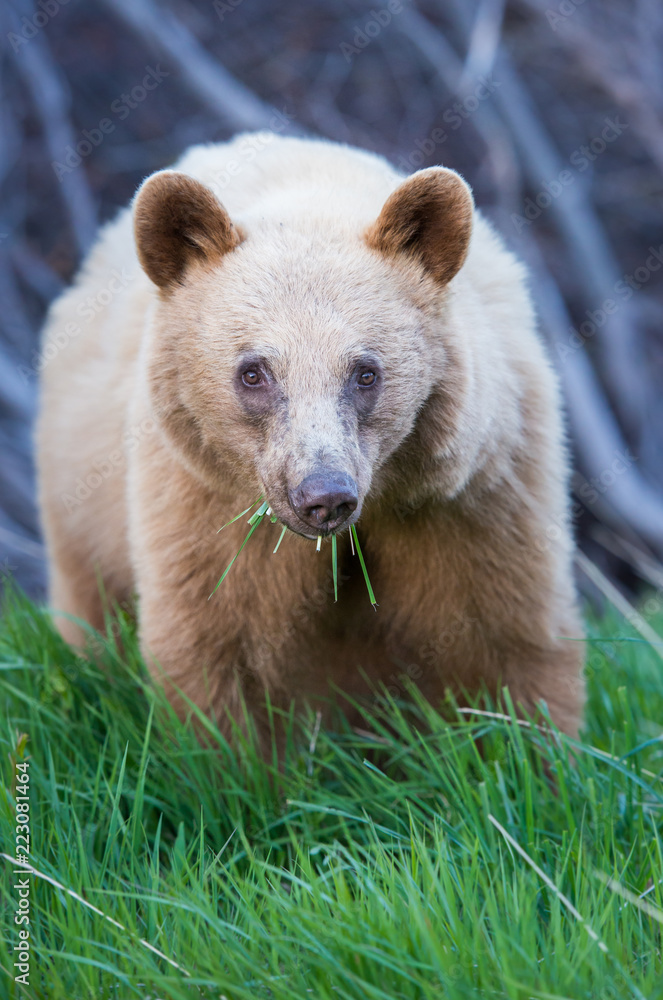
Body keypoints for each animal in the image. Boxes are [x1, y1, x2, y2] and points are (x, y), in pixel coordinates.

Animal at [36, 133, 585, 742]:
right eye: (253, 372)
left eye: (365, 371)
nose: (324, 495)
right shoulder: (208, 504)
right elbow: (220, 642)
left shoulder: (469, 500)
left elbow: (504, 636)